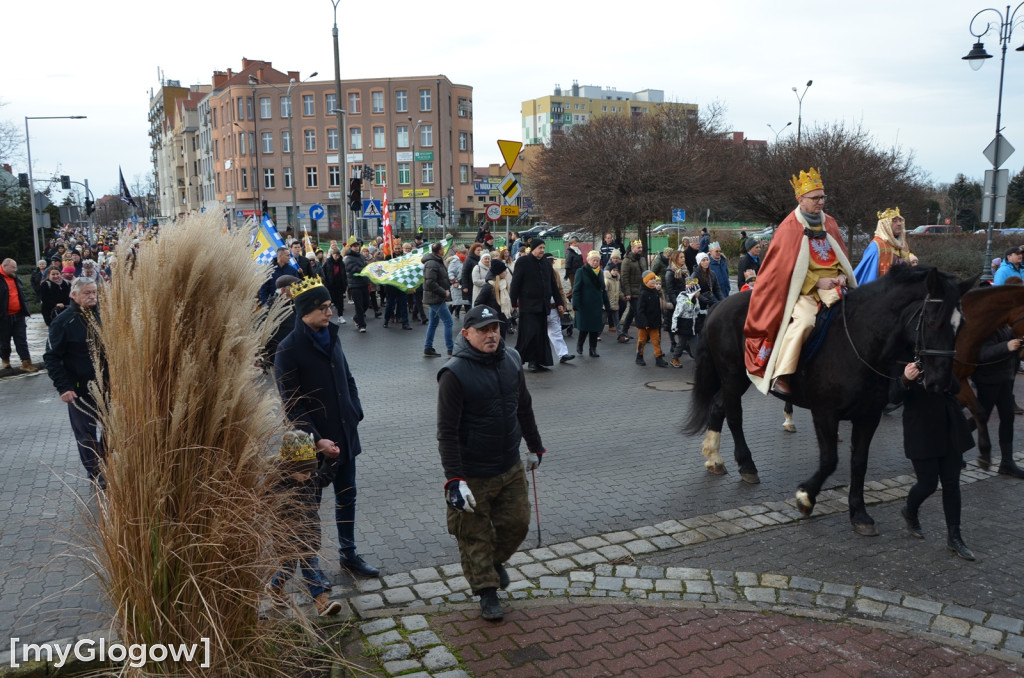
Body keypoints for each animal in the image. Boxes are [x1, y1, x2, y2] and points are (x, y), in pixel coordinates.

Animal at [684, 266, 970, 536]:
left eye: (961, 324)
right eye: (932, 320)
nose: (940, 382)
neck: (860, 342)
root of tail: (721, 304)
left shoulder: (868, 416)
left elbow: (860, 462)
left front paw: (859, 513)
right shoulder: (825, 413)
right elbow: (830, 459)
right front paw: (806, 497)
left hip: (738, 379)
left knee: (718, 407)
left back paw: (715, 458)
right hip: (733, 376)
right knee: (733, 415)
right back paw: (746, 465)